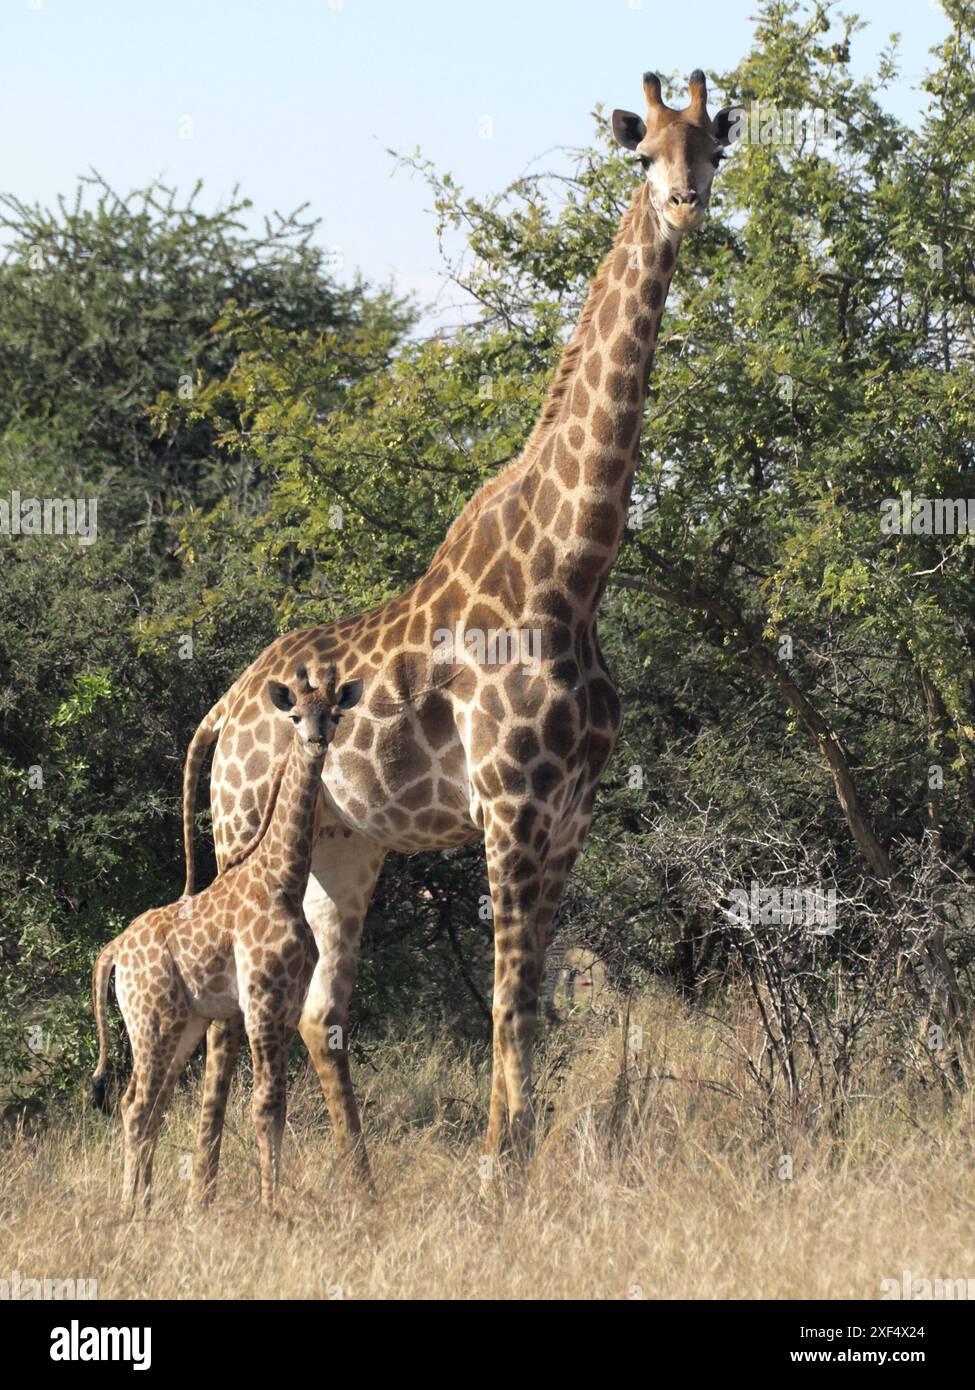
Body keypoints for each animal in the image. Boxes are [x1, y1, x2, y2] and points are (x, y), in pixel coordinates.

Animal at [92, 665, 363, 1213]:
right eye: (296, 715)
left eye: (334, 713)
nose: (316, 741)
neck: (283, 879)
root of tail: (113, 951)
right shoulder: (259, 1000)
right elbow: (264, 1104)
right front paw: (271, 1209)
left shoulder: (286, 1003)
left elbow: (277, 1104)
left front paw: (271, 1202)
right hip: (152, 1019)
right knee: (136, 1105)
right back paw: (131, 1209)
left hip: (183, 1023)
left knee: (149, 1105)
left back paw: (145, 1207)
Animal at [180, 70, 742, 1189]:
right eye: (643, 153)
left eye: (712, 148)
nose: (686, 206)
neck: (572, 573)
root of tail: (220, 714)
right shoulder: (510, 807)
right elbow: (505, 1000)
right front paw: (498, 1174)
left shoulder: (568, 814)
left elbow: (530, 1002)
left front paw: (514, 1165)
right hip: (240, 832)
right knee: (232, 1016)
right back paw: (211, 1191)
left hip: (342, 848)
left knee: (317, 1014)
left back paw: (357, 1189)